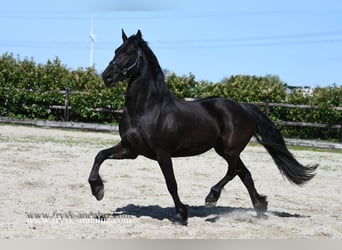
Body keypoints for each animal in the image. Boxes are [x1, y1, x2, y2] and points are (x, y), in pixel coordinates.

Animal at [88, 29, 318, 225]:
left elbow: (171, 183)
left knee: (234, 171)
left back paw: (212, 197)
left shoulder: (163, 153)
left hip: (230, 150)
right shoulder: (131, 149)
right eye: (116, 51)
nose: (107, 76)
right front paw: (98, 190)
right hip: (225, 150)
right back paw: (260, 209)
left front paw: (182, 214)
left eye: (128, 53)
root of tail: (244, 107)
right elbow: (100, 155)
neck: (145, 109)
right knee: (244, 173)